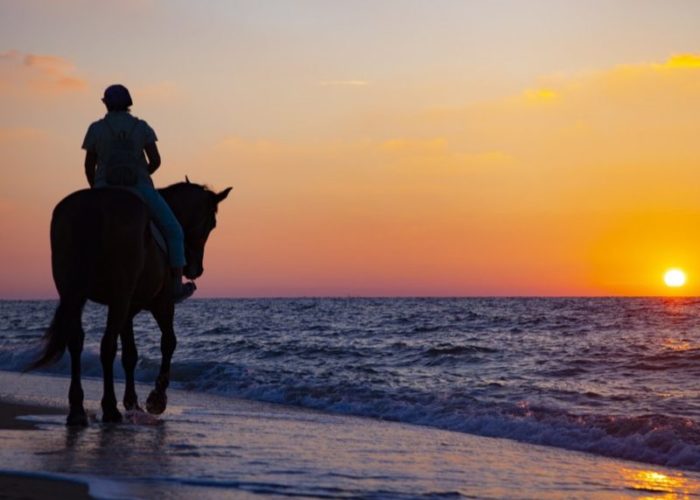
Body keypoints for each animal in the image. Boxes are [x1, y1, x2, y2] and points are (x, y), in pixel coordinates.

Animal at [30, 180, 232, 426]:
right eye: (212, 224)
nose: (196, 269)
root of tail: (93, 207)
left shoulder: (128, 309)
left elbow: (130, 355)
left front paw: (132, 402)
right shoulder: (162, 303)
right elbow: (169, 342)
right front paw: (157, 399)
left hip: (75, 294)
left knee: (77, 341)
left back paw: (78, 409)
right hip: (119, 295)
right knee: (107, 346)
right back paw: (109, 408)